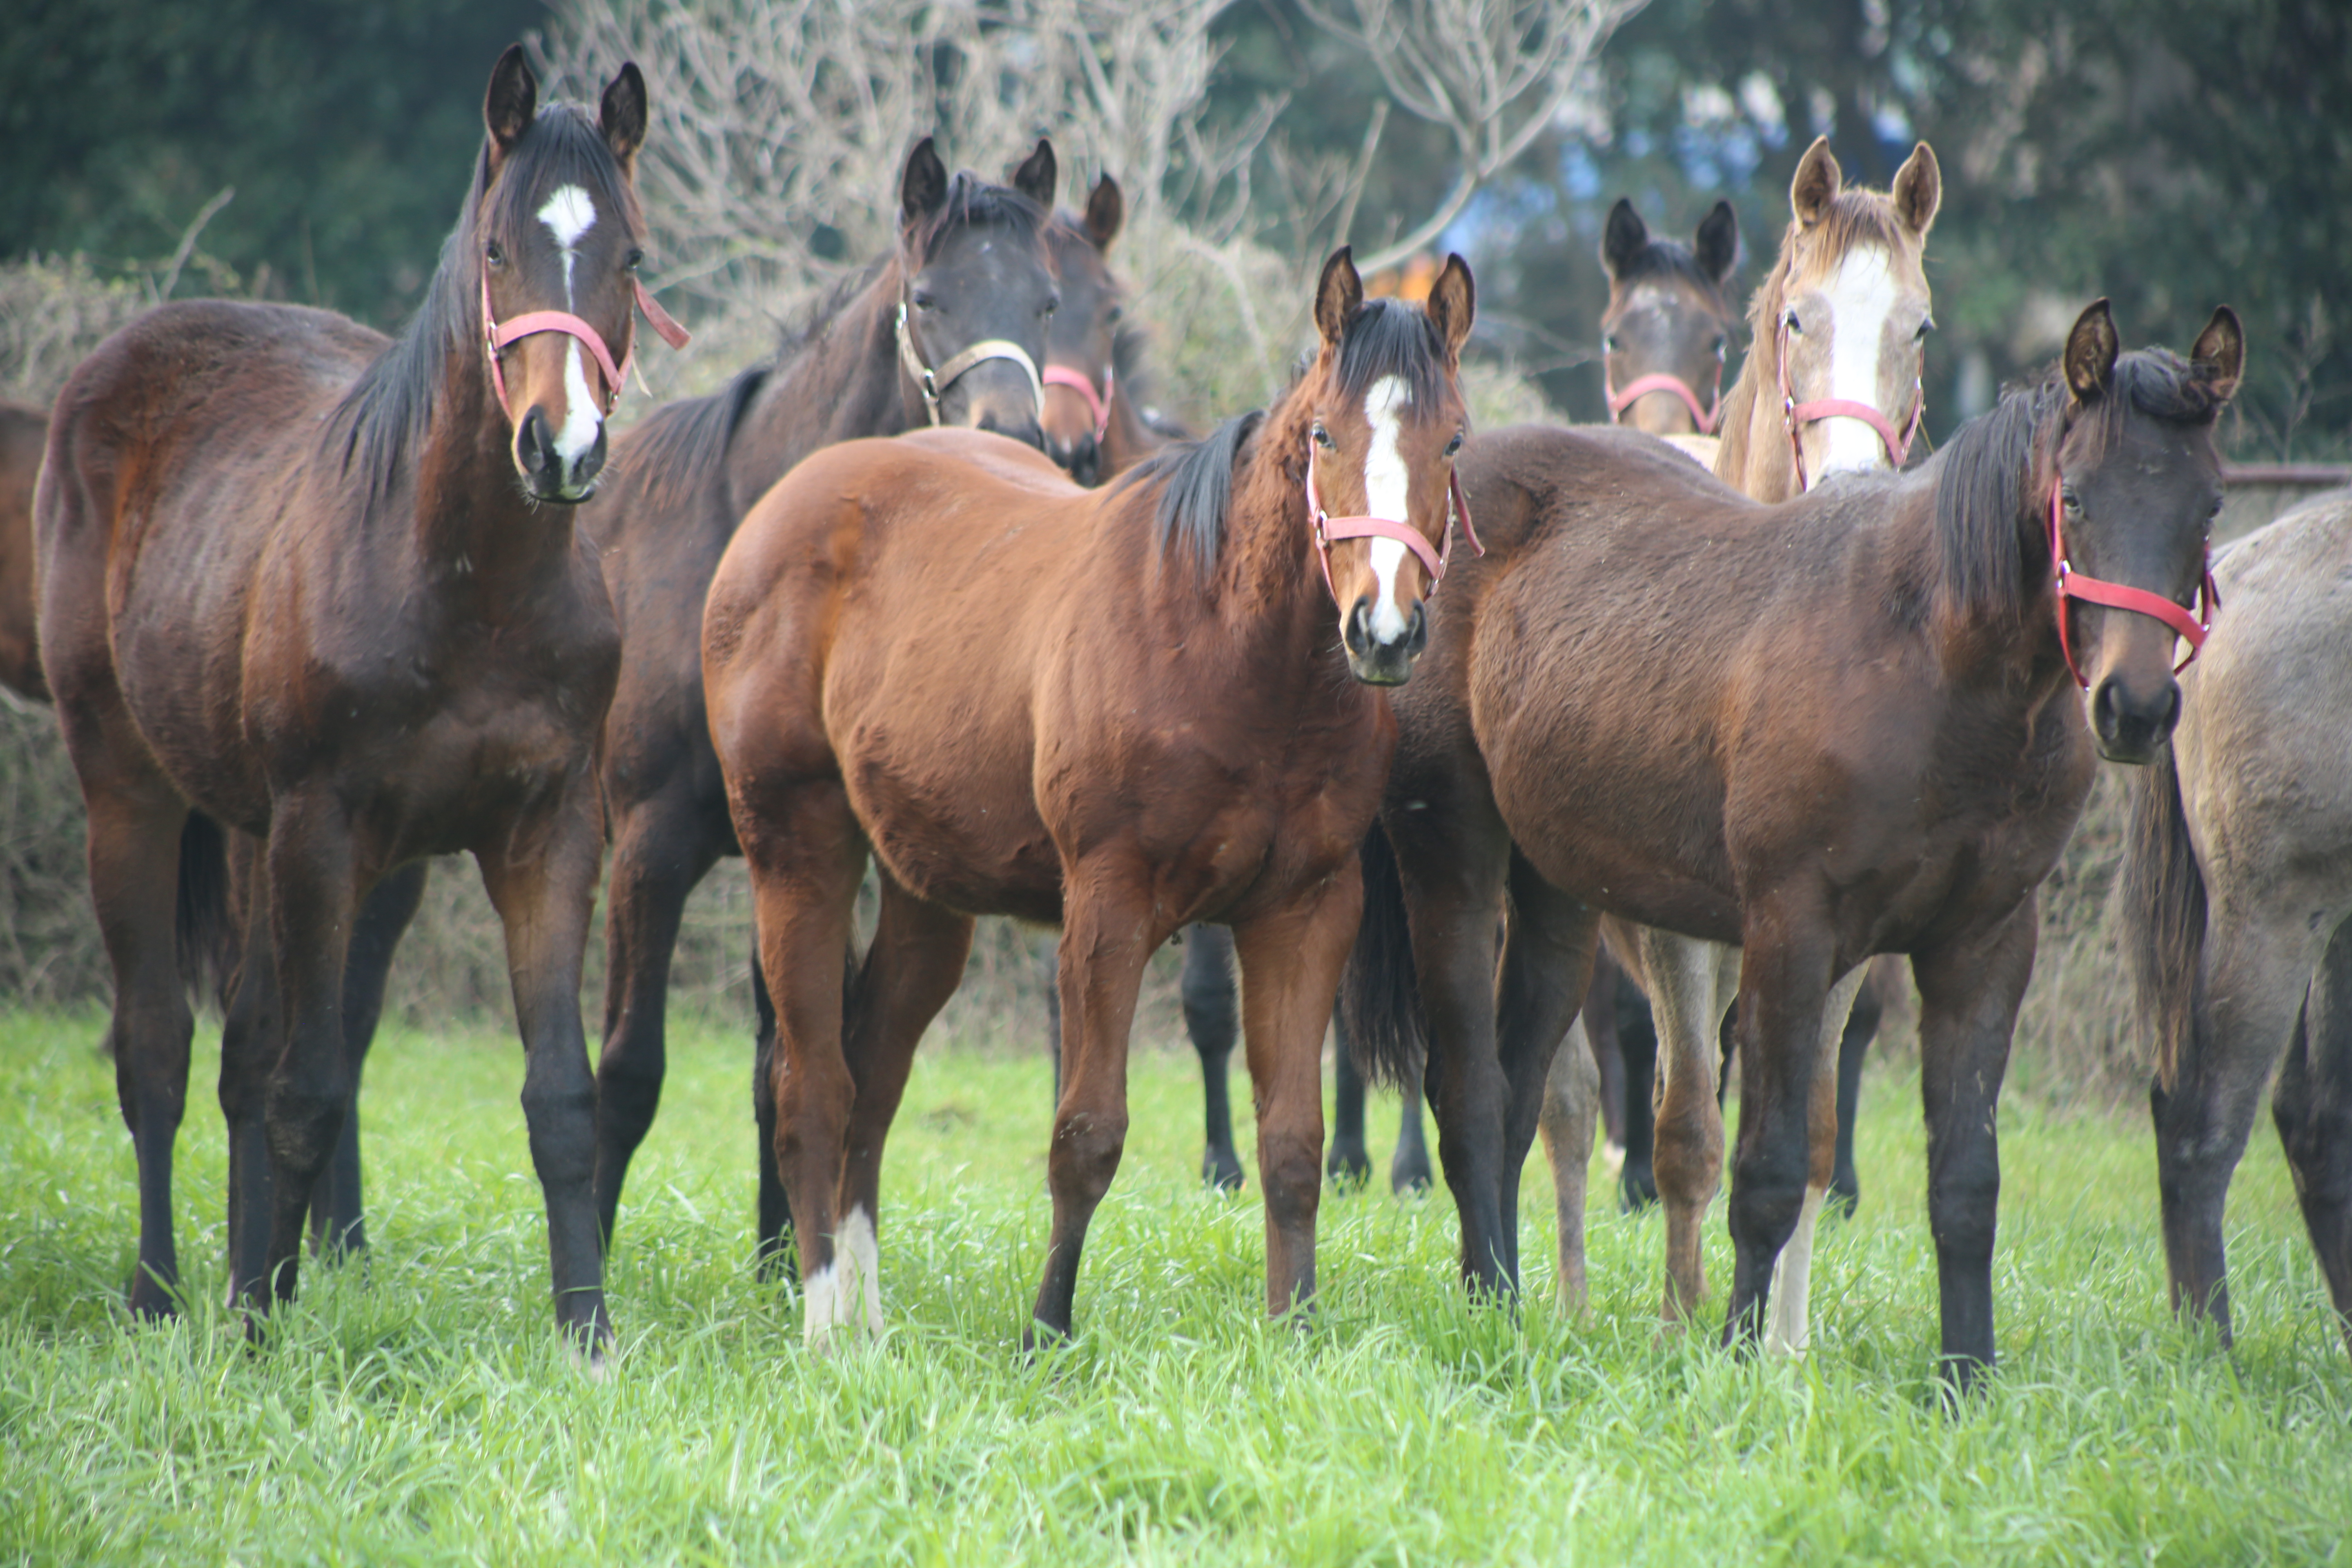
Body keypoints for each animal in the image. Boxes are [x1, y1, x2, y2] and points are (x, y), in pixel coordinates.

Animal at [37, 49, 682, 1354]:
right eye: (497, 246)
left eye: (632, 257)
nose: (563, 449)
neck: (469, 585)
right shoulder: (325, 834)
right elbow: (310, 1089)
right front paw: (255, 1334)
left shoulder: (545, 837)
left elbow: (561, 1096)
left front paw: (586, 1336)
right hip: (130, 794)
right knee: (159, 1052)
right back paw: (162, 1292)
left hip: (247, 833)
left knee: (236, 1056)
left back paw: (248, 1272)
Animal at [696, 248, 1468, 1354]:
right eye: (1324, 434)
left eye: (1452, 439)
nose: (1386, 629)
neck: (1223, 641)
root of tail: (785, 506)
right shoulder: (1108, 910)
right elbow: (1087, 1135)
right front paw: (1046, 1333)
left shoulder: (1305, 912)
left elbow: (1292, 1140)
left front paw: (1294, 1331)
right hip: (795, 853)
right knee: (812, 1089)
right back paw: (826, 1325)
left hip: (926, 894)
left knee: (873, 1081)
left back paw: (870, 1320)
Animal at [1354, 297, 2230, 1382]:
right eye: (2074, 495)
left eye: (2208, 505)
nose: (2134, 707)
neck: (1926, 661)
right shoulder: (1790, 929)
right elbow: (1761, 1166)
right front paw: (1733, 1357)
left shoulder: (1980, 947)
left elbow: (1964, 1181)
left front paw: (1964, 1377)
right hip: (1458, 863)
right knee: (1470, 1090)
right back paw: (1490, 1307)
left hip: (1558, 897)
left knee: (1522, 1095)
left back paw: (1509, 1301)